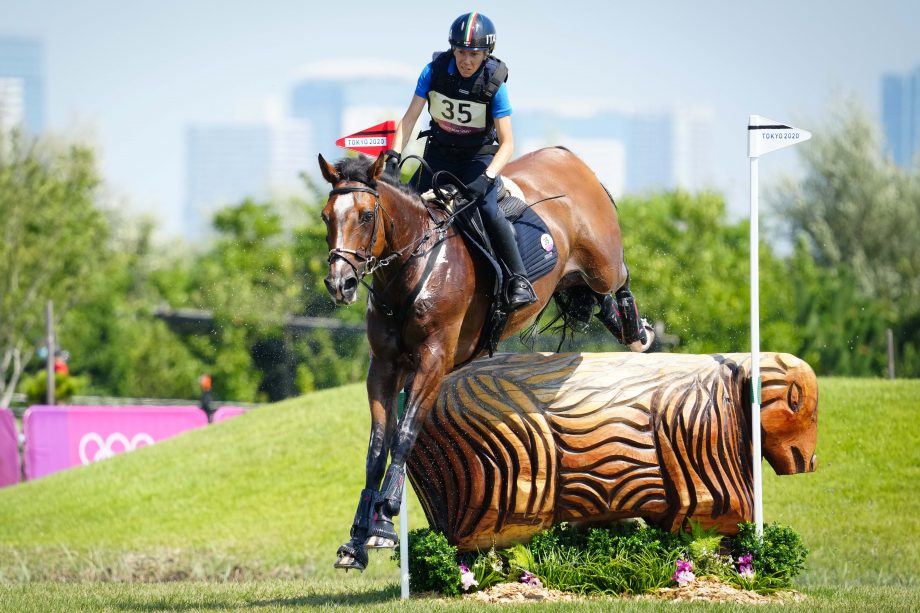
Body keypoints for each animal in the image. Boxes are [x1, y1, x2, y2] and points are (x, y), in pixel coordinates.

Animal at [316, 147, 656, 568]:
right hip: (574, 279)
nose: (340, 284)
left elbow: (406, 433)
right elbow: (377, 448)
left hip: (601, 261)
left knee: (618, 277)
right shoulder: (383, 366)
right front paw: (360, 538)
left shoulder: (433, 360)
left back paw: (637, 329)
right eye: (326, 216)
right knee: (595, 300)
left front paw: (386, 513)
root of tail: (565, 156)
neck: (412, 268)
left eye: (365, 215)